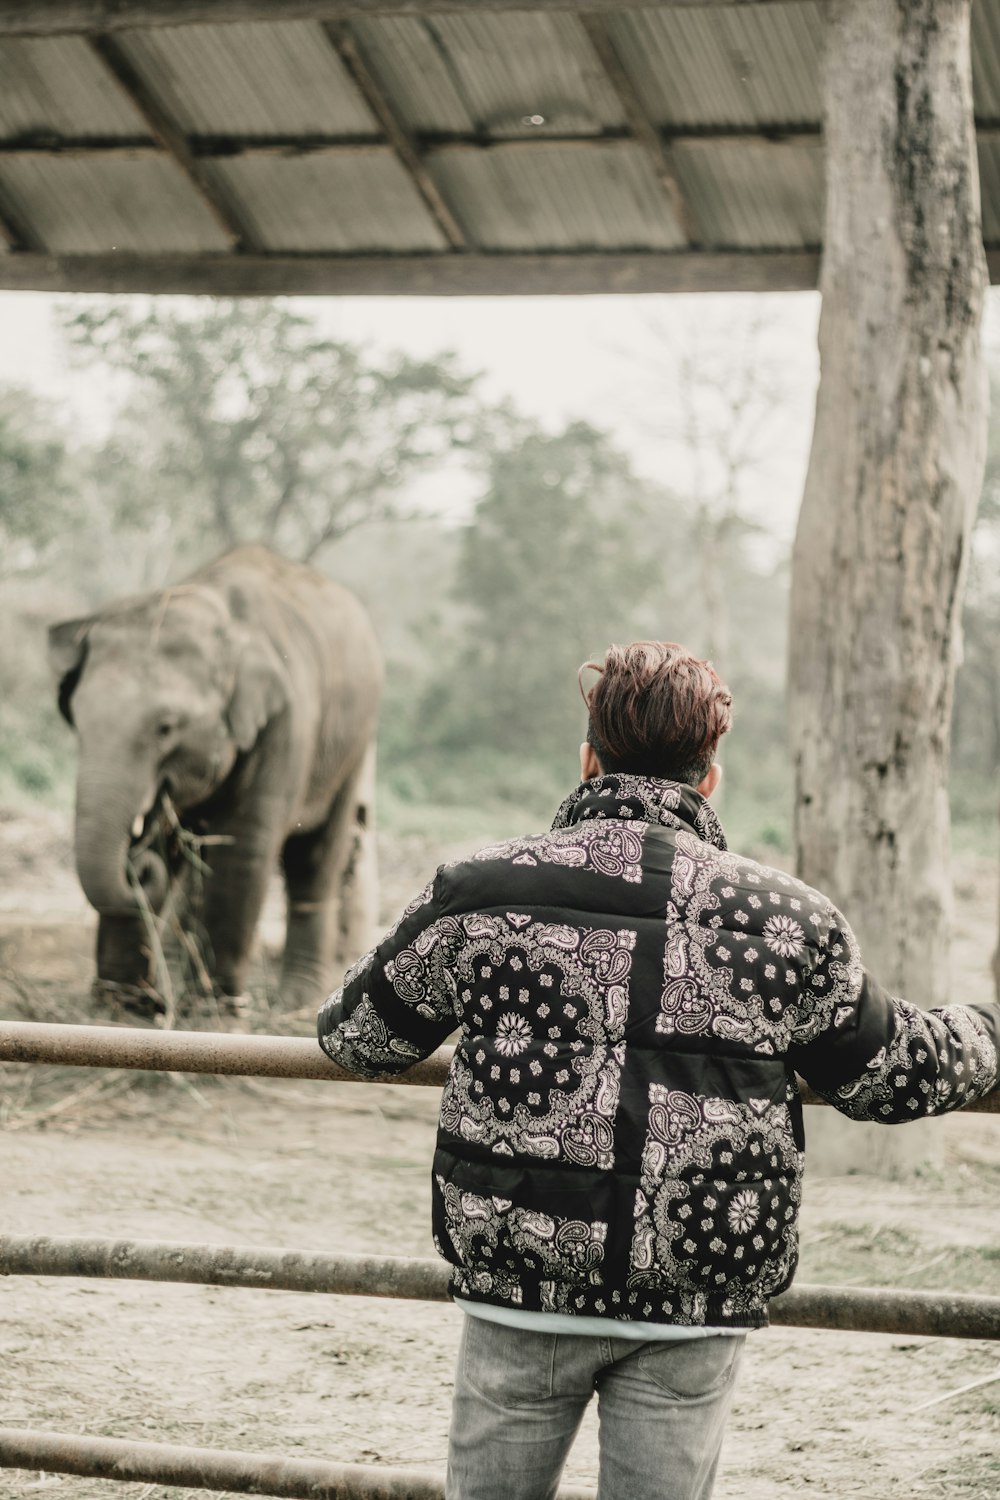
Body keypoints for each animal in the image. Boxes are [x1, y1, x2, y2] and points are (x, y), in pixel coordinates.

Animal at [46, 546, 386, 1026]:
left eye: (166, 728)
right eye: (75, 717)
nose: (138, 865)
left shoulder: (285, 725)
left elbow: (243, 850)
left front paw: (212, 1017)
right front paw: (117, 1015)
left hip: (352, 746)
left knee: (316, 859)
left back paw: (294, 1003)